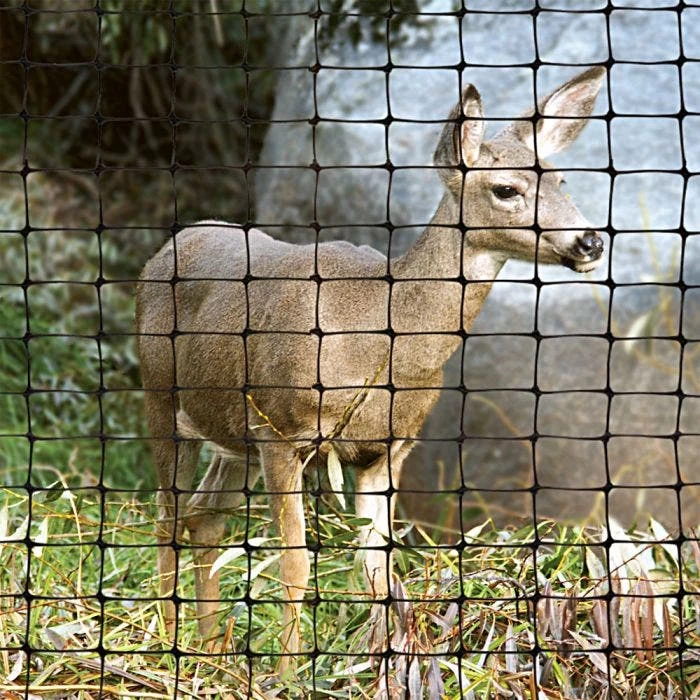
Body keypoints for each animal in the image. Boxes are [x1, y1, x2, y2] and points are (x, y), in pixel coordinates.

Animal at [136, 66, 606, 672]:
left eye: (563, 181)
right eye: (507, 189)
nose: (590, 241)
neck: (381, 341)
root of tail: (174, 241)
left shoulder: (387, 450)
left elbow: (379, 571)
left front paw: (379, 666)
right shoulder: (280, 431)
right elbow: (295, 564)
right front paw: (287, 675)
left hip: (231, 436)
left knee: (203, 517)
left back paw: (210, 647)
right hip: (162, 400)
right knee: (167, 516)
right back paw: (168, 645)